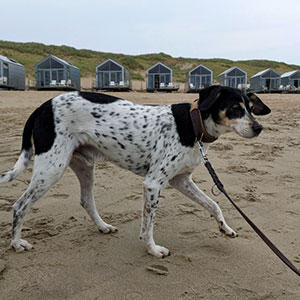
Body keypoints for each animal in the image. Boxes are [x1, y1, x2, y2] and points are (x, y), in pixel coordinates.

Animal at [0, 85, 272, 258]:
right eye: (235, 108)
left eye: (250, 107)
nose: (259, 128)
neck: (194, 124)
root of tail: (43, 106)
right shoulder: (153, 183)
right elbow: (148, 224)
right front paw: (152, 250)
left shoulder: (181, 180)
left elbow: (214, 204)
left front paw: (225, 228)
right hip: (51, 169)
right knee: (20, 205)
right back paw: (16, 243)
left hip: (84, 166)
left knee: (86, 200)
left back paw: (103, 226)